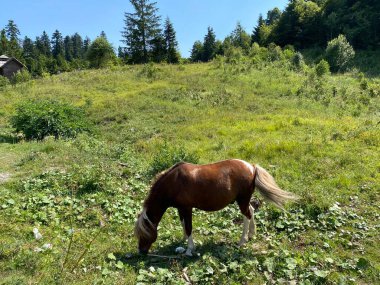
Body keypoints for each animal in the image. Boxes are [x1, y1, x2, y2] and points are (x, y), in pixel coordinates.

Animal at [135, 159, 298, 254]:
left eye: (144, 233)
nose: (141, 251)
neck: (174, 181)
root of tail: (252, 167)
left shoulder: (187, 209)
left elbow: (189, 227)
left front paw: (189, 249)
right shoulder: (181, 209)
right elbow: (183, 225)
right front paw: (183, 241)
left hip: (242, 200)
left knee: (246, 215)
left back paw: (242, 241)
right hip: (244, 200)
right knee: (251, 211)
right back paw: (251, 234)